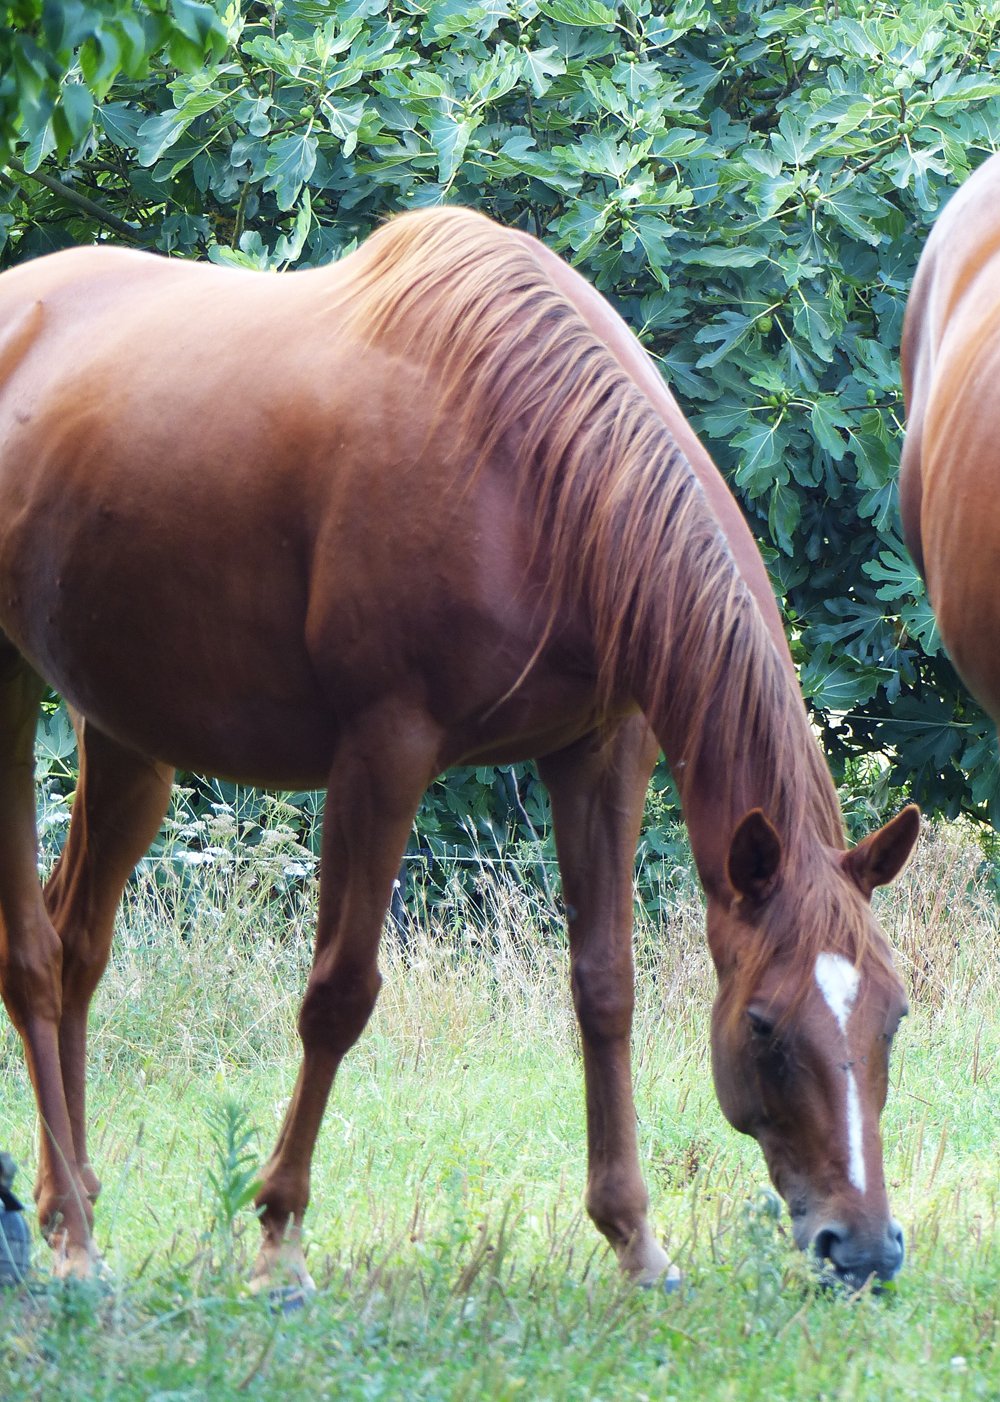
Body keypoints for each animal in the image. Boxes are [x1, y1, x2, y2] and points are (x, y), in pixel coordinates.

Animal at [0, 206, 918, 1295]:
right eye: (766, 1026)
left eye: (893, 1016)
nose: (863, 1246)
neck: (528, 466)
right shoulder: (384, 750)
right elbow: (338, 994)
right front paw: (279, 1240)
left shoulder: (602, 751)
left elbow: (605, 987)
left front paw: (633, 1238)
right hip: (11, 694)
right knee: (32, 956)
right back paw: (76, 1236)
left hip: (127, 738)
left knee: (78, 942)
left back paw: (69, 1213)